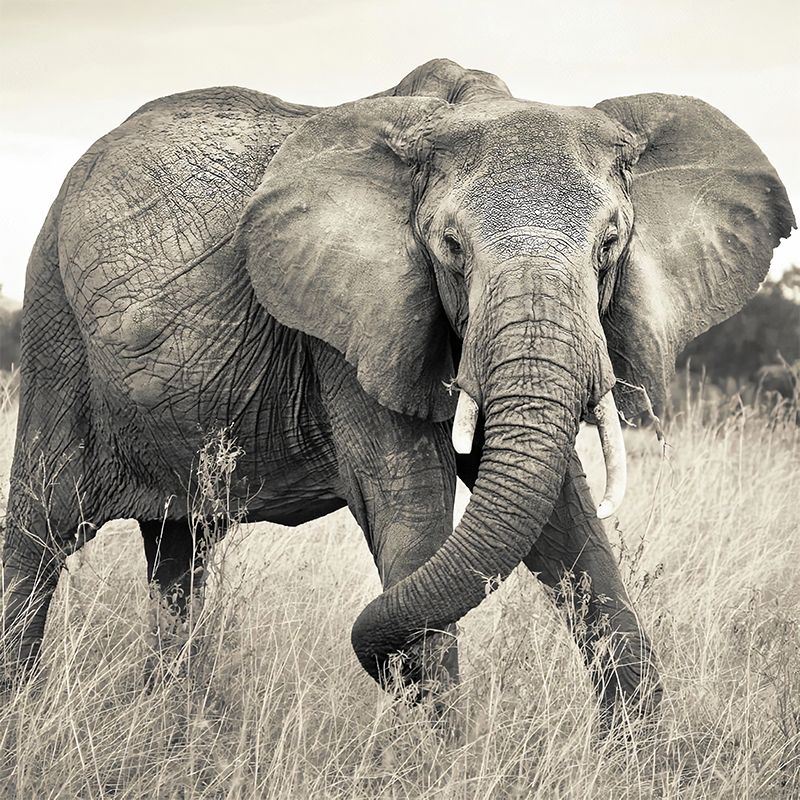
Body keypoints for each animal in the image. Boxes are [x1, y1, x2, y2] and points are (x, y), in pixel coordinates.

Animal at [2, 59, 794, 721]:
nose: (384, 675)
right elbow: (409, 510)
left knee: (179, 555)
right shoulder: (351, 333)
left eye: (610, 245)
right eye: (449, 248)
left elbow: (566, 522)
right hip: (53, 323)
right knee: (40, 535)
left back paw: (174, 728)